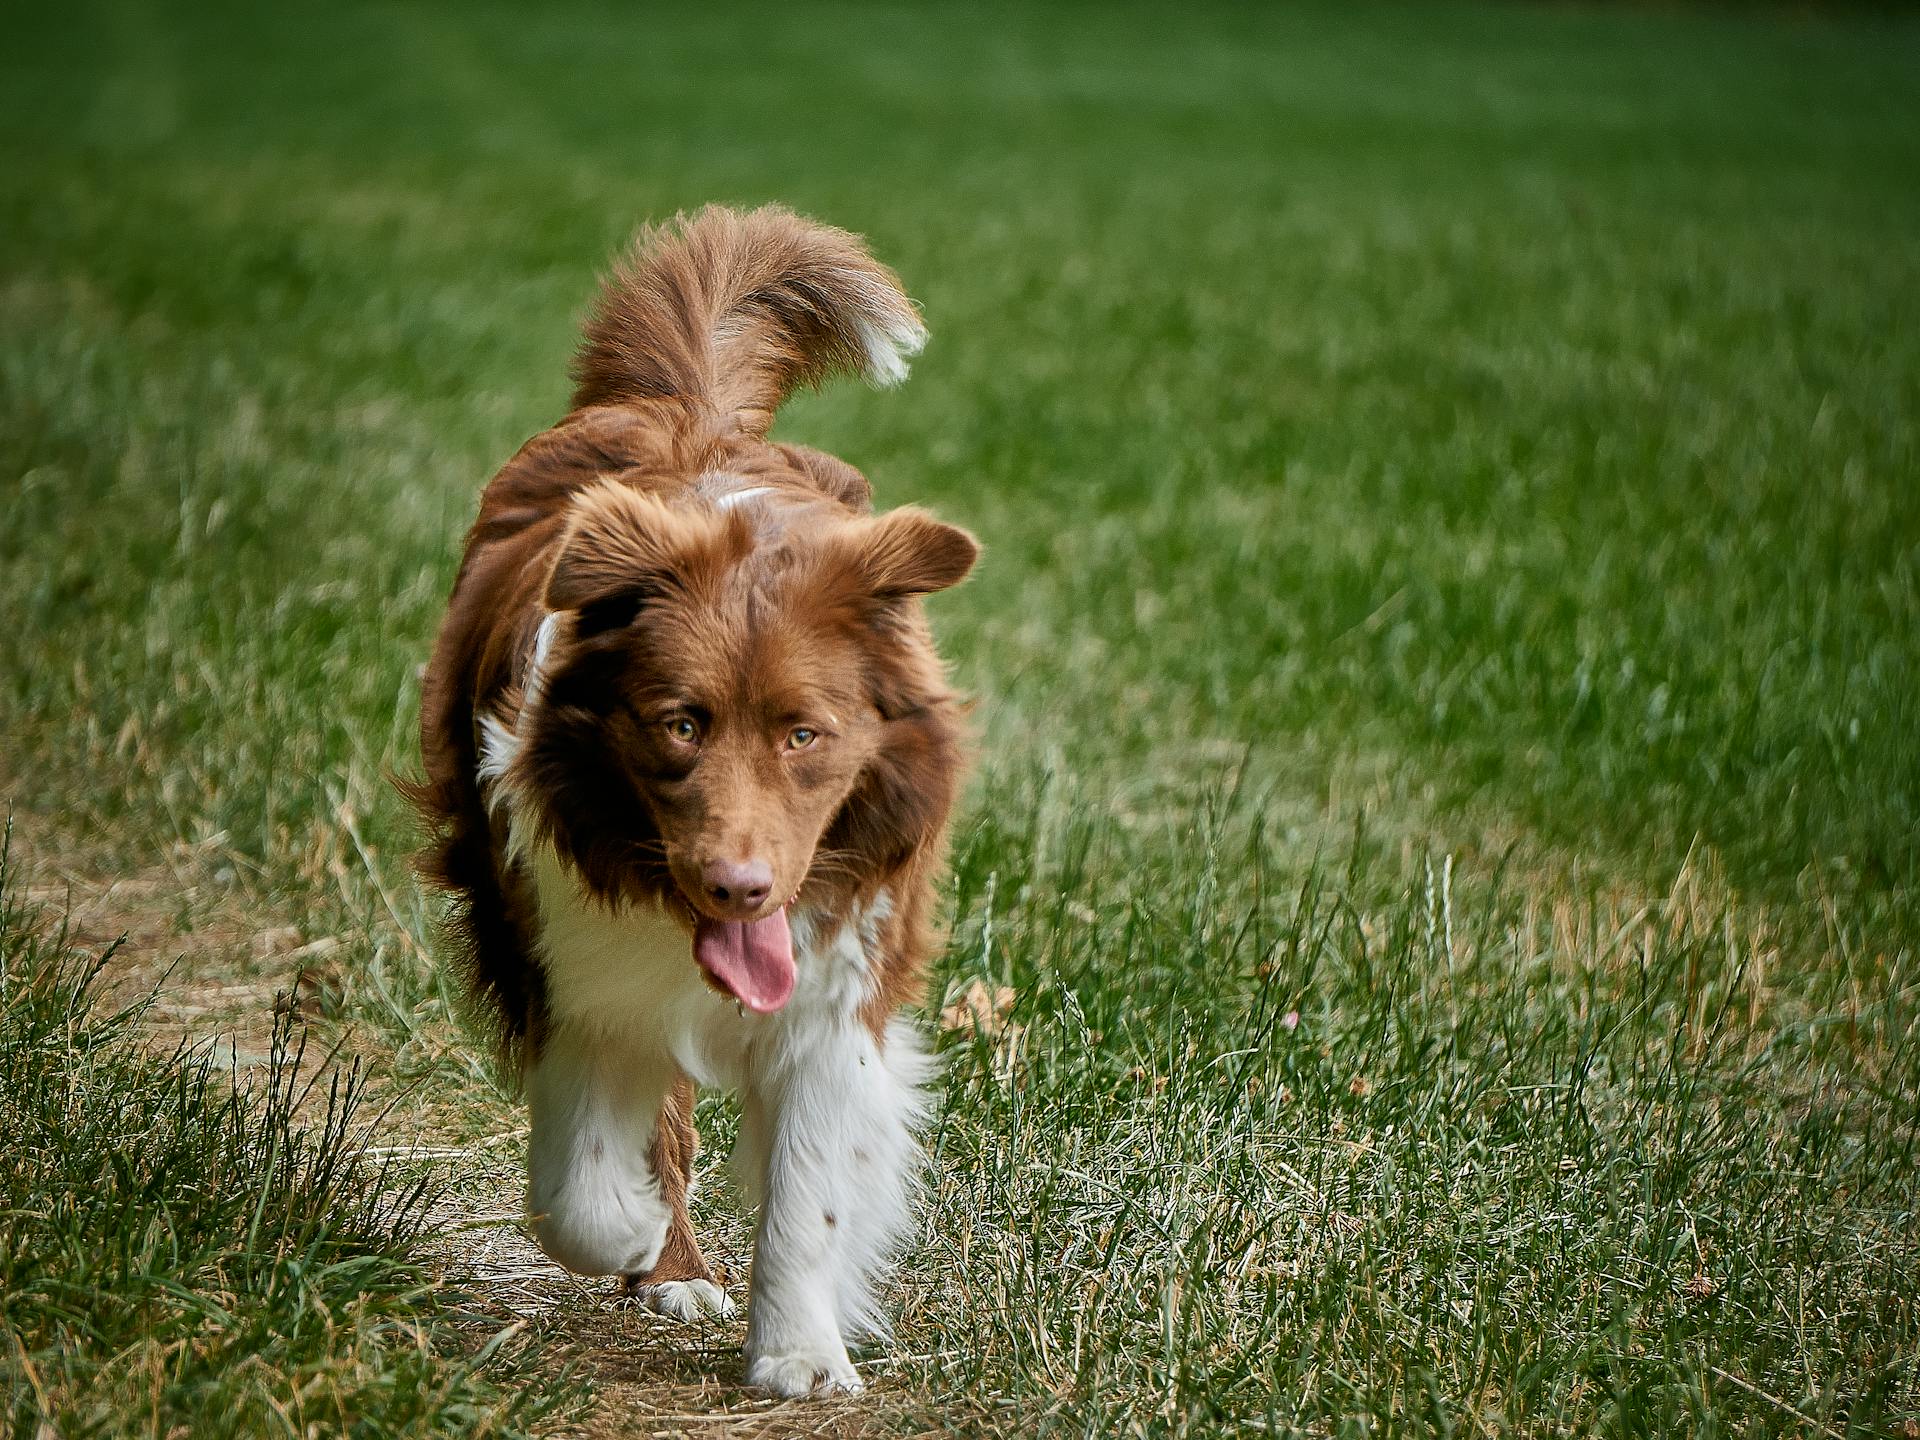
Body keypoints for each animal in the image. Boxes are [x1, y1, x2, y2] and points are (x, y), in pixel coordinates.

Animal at [405, 205, 975, 1397]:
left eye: (806, 734)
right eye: (680, 725)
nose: (739, 888)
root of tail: (689, 411)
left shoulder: (838, 980)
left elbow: (810, 1188)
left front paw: (801, 1355)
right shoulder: (562, 958)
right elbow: (578, 1180)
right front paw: (630, 1231)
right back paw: (664, 1260)